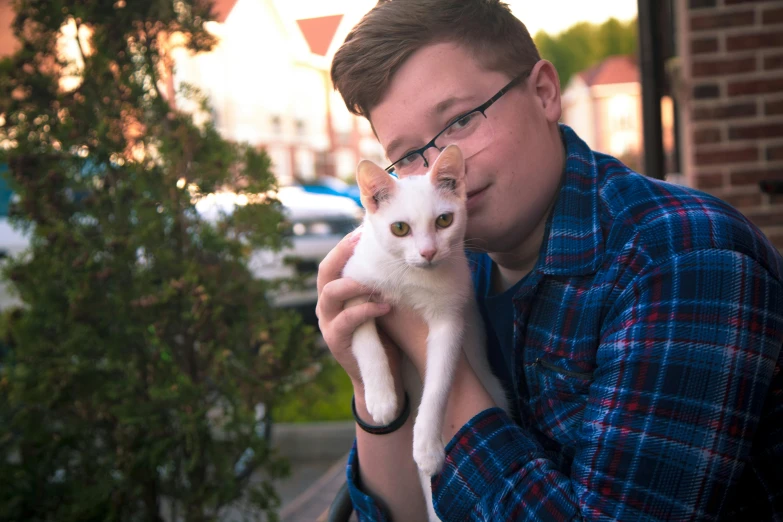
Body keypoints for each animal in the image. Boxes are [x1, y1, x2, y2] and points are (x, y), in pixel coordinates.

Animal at [344, 144, 508, 516]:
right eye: (399, 228)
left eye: (444, 220)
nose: (429, 252)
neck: (411, 276)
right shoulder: (352, 284)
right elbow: (365, 340)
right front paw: (381, 397)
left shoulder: (450, 319)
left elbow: (439, 382)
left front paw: (428, 448)